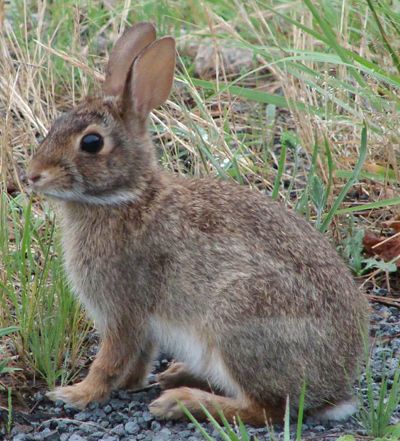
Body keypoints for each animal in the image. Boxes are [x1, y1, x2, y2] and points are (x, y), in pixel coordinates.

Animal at [27, 22, 368, 424]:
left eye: (92, 142)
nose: (32, 175)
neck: (127, 197)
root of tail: (335, 391)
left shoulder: (122, 309)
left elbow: (109, 359)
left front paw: (75, 394)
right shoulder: (142, 324)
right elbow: (138, 358)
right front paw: (127, 385)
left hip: (237, 322)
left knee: (264, 409)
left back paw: (181, 402)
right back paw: (177, 376)